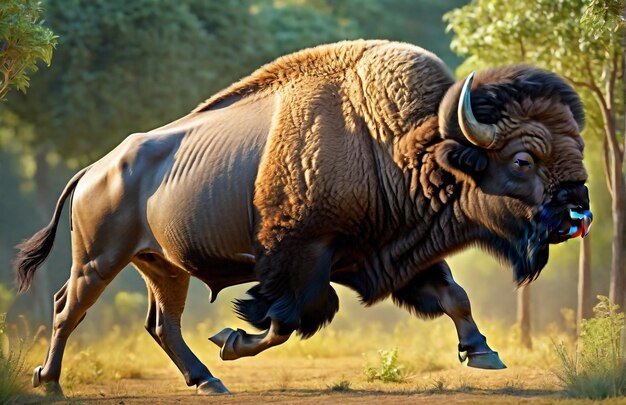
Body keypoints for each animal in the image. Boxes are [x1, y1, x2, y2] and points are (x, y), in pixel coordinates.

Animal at [14, 39, 588, 392]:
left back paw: (208, 382)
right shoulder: (300, 257)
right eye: (523, 160)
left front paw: (482, 352)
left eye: (577, 146)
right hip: (99, 260)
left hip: (163, 265)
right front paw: (230, 342)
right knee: (69, 308)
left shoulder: (397, 254)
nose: (579, 210)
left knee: (162, 323)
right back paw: (50, 380)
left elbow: (454, 295)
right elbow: (288, 318)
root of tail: (96, 168)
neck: (397, 143)